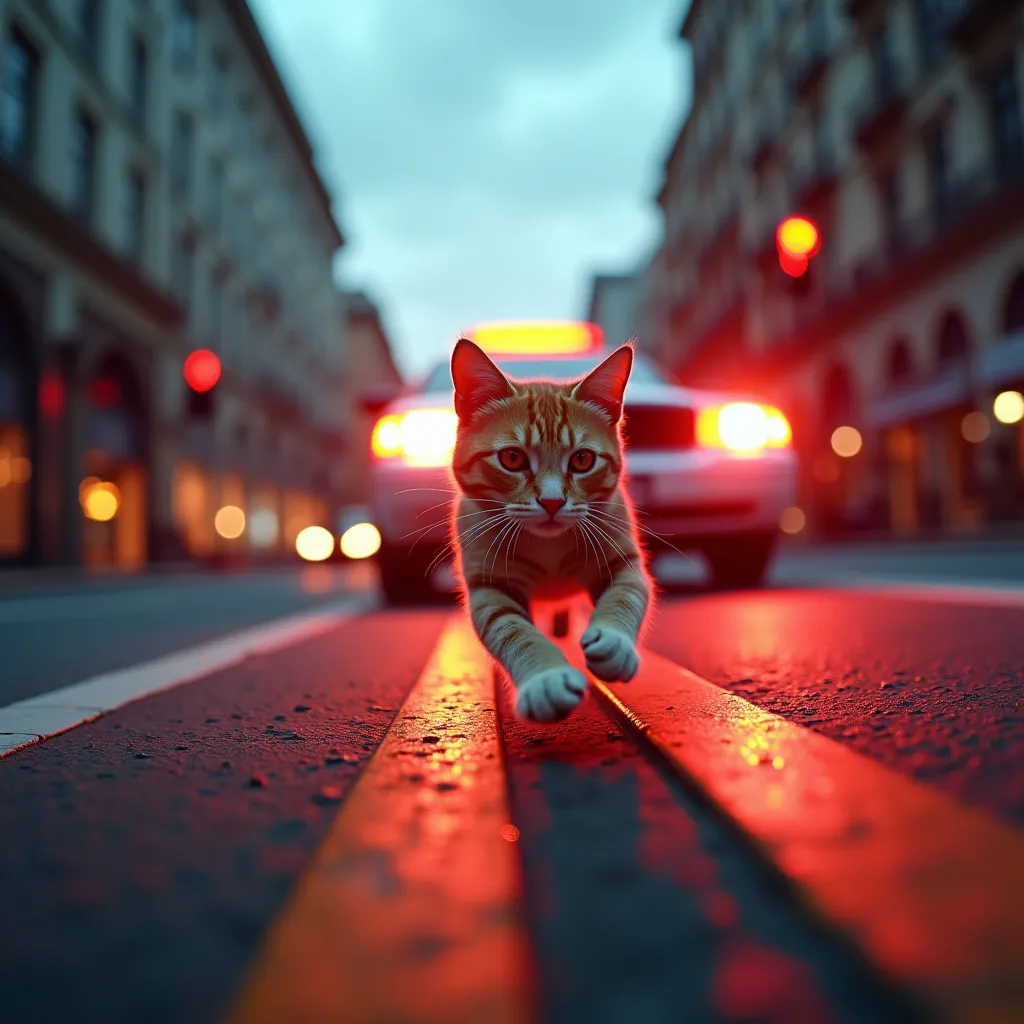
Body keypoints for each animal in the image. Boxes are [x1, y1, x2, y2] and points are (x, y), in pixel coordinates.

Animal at [452, 335, 651, 720]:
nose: (552, 501)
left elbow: (626, 595)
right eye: (512, 458)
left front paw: (614, 643)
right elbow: (512, 630)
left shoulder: (622, 560)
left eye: (583, 459)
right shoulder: (490, 586)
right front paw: (546, 678)